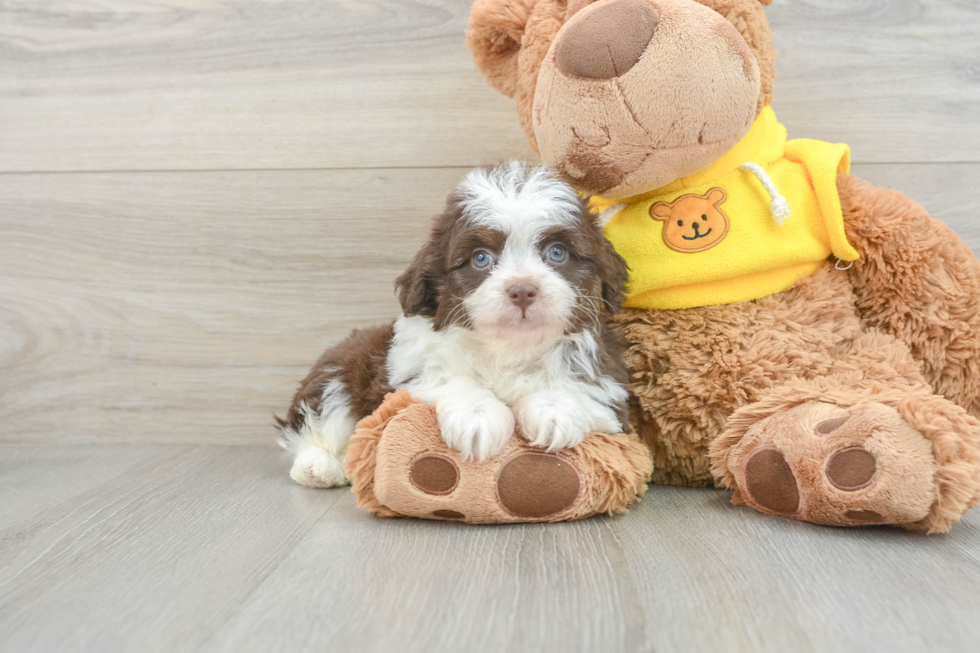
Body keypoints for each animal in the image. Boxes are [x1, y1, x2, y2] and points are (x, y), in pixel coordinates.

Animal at [278, 160, 628, 486]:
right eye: (481, 258)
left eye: (557, 252)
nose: (522, 290)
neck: (508, 349)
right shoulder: (406, 374)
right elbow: (449, 379)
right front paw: (478, 416)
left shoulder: (611, 396)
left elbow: (581, 390)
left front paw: (554, 409)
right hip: (336, 373)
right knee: (316, 424)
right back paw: (318, 467)